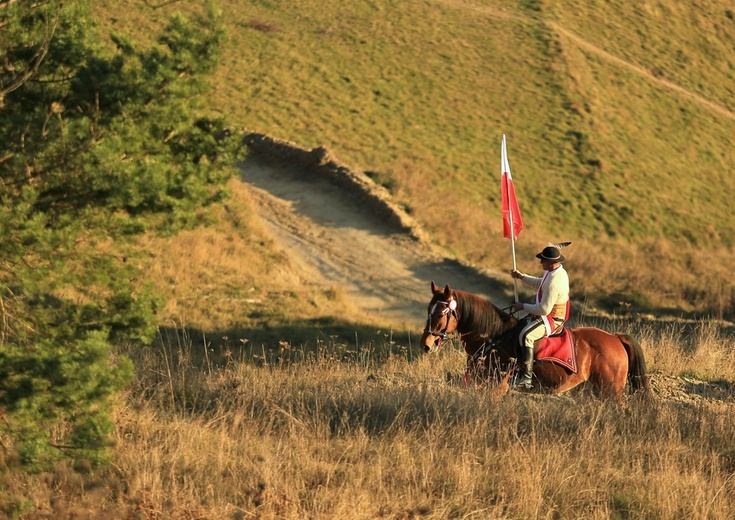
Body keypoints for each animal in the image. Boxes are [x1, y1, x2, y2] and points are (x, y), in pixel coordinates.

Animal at [416, 282, 652, 400]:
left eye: (441, 313)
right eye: (428, 310)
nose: (426, 344)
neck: (494, 337)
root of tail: (615, 338)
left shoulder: (496, 388)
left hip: (611, 390)